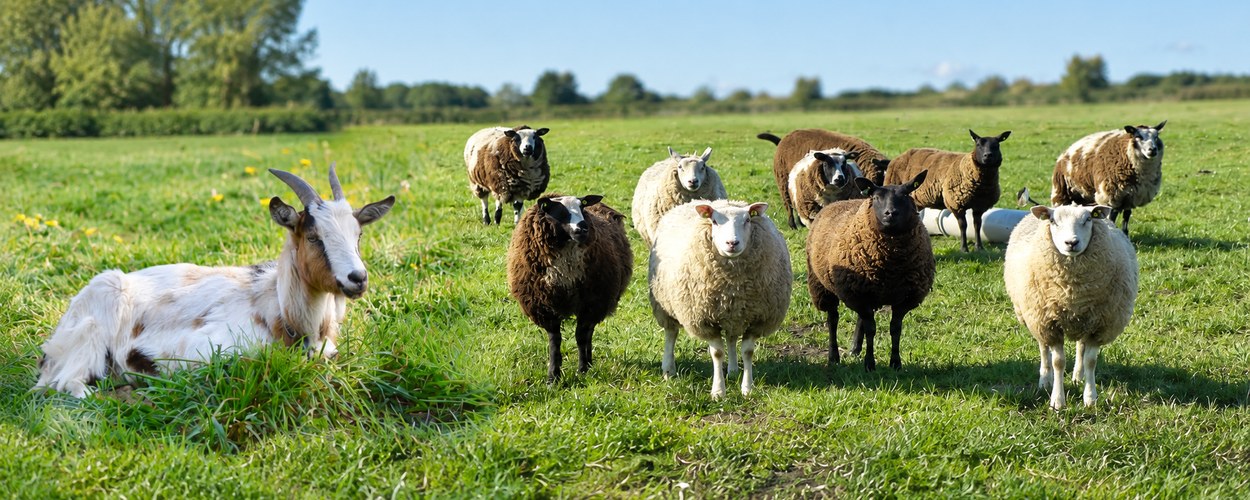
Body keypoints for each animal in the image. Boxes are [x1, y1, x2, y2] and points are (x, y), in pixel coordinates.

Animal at [34, 166, 395, 398]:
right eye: (313, 236)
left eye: (358, 235)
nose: (357, 278)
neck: (282, 311)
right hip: (91, 337)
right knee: (68, 385)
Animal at [507, 193, 633, 383]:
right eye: (559, 211)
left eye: (581, 207)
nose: (583, 229)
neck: (565, 273)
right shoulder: (545, 306)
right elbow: (555, 341)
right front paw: (553, 377)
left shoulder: (590, 303)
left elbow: (581, 336)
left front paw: (582, 370)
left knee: (588, 333)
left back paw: (589, 362)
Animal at [648, 199, 791, 398]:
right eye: (715, 221)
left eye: (747, 220)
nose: (732, 243)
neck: (733, 284)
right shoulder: (705, 320)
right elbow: (716, 353)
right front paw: (718, 391)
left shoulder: (757, 318)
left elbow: (748, 352)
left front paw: (747, 388)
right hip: (664, 305)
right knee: (671, 334)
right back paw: (669, 370)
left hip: (734, 314)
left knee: (731, 338)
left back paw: (733, 371)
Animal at [806, 171, 934, 371]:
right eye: (876, 197)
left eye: (906, 194)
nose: (891, 213)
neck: (891, 264)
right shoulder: (859, 294)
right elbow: (871, 329)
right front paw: (870, 364)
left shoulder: (904, 298)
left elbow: (895, 328)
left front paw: (895, 363)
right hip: (823, 286)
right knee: (833, 320)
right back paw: (834, 357)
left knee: (861, 321)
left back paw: (855, 348)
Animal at [1003, 204, 1138, 409]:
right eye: (1053, 221)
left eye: (1088, 219)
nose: (1071, 242)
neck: (1073, 293)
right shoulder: (1050, 324)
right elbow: (1058, 362)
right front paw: (1057, 401)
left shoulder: (1099, 325)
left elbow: (1091, 361)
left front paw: (1090, 398)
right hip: (1036, 318)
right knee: (1043, 348)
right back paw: (1045, 380)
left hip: (1084, 320)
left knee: (1080, 347)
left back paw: (1078, 377)